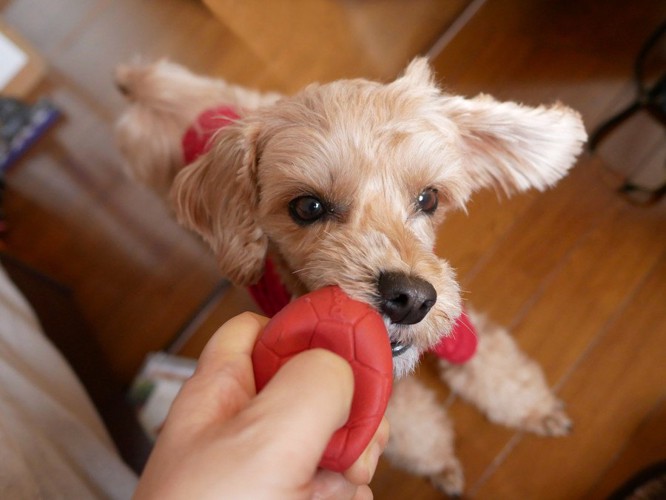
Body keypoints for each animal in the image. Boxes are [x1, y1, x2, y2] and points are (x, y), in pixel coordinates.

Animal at [116, 56, 584, 494]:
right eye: (307, 207)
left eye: (429, 198)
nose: (411, 299)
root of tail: (150, 83)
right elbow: (414, 425)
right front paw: (439, 463)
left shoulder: (457, 326)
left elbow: (491, 361)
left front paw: (534, 409)